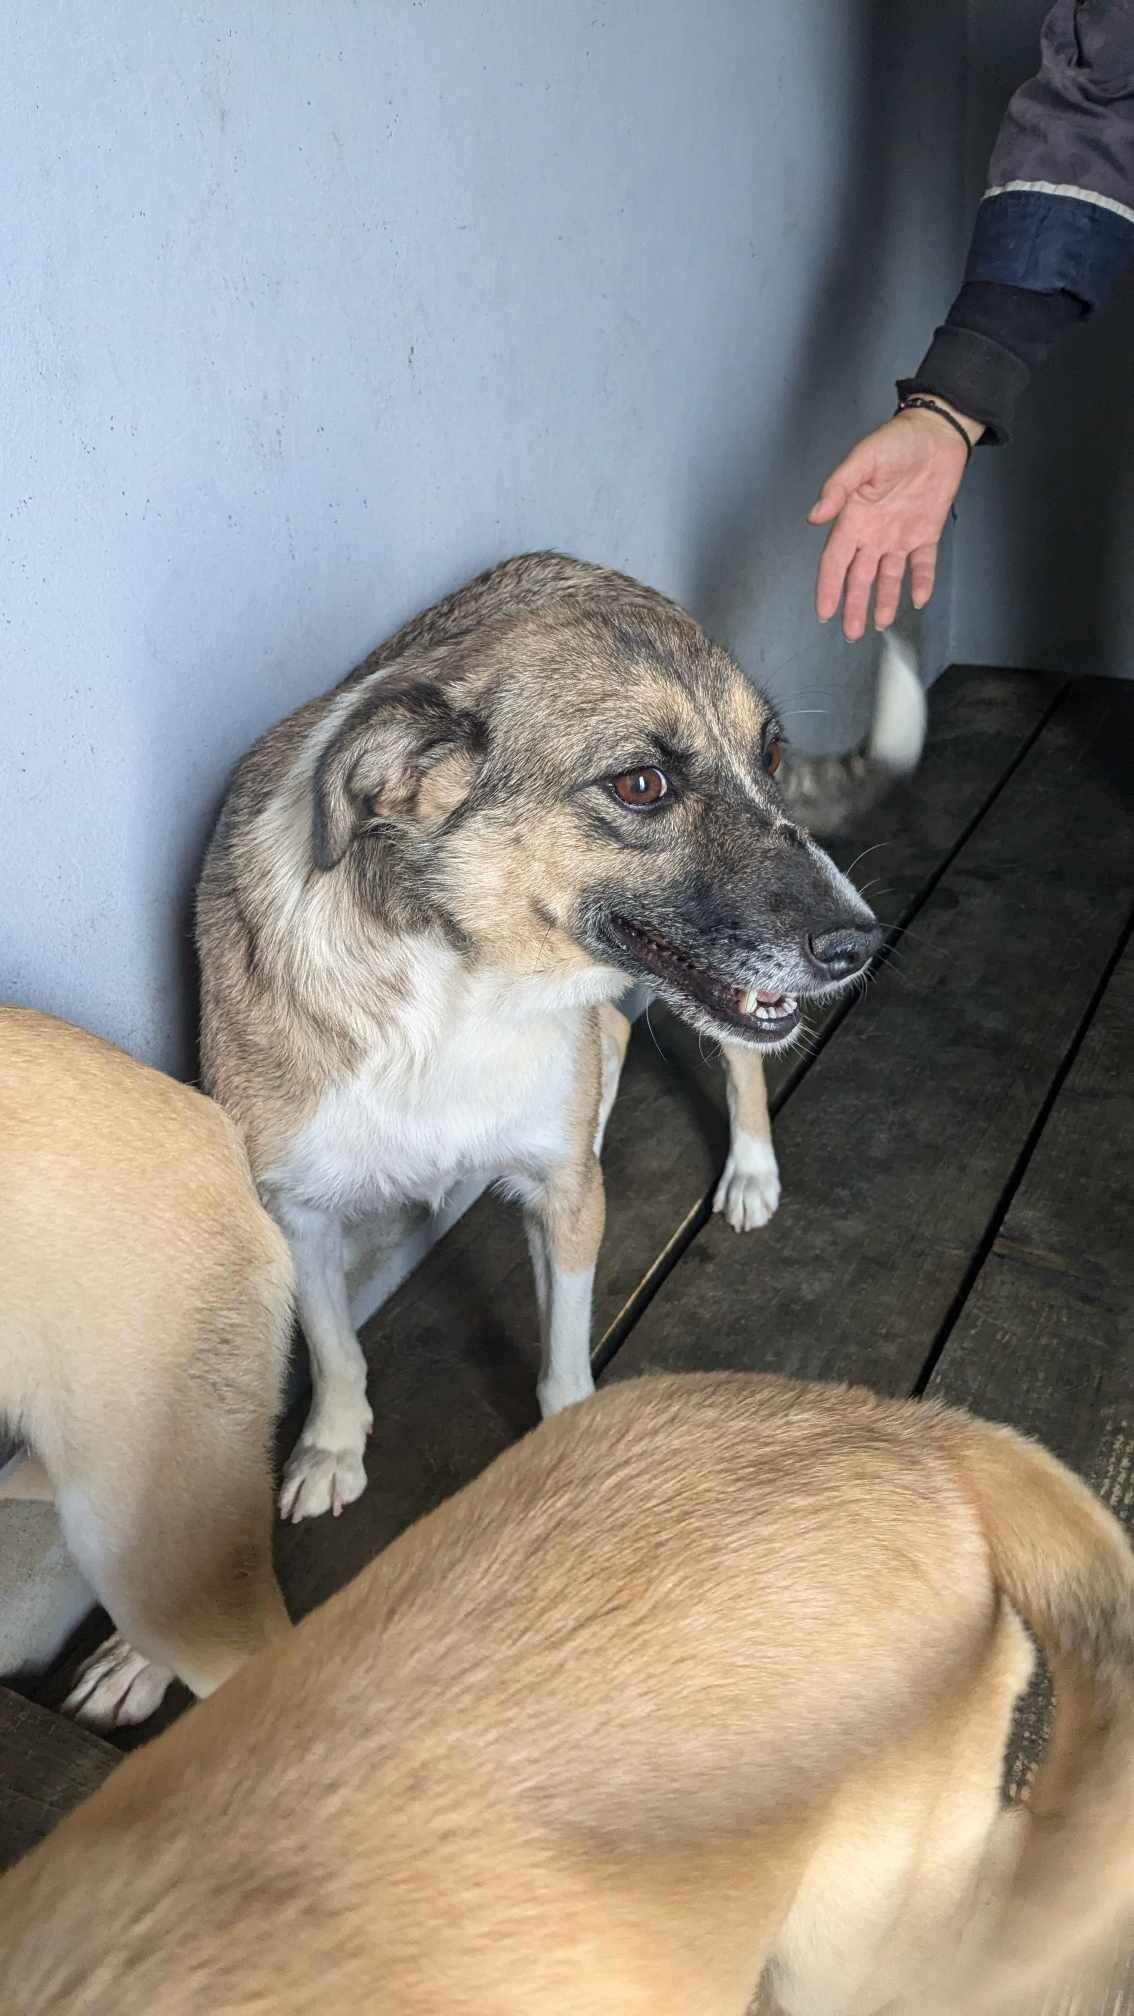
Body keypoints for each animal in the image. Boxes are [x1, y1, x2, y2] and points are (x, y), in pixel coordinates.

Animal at [197, 553, 925, 1523]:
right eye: (642, 785)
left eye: (769, 755)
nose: (861, 945)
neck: (465, 987)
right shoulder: (298, 1215)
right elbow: (334, 1347)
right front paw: (331, 1446)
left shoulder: (563, 1197)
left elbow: (563, 1359)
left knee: (733, 1063)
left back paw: (749, 1170)